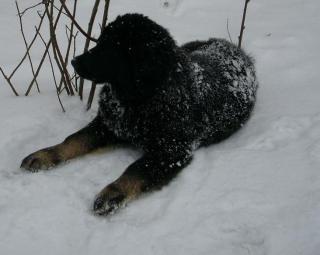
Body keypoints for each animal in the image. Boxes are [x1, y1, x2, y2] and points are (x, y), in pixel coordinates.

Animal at [21, 13, 258, 215]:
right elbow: (74, 139)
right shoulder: (107, 125)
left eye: (108, 48)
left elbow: (136, 169)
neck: (139, 98)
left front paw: (112, 193)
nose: (73, 61)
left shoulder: (171, 152)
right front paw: (45, 155)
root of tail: (234, 48)